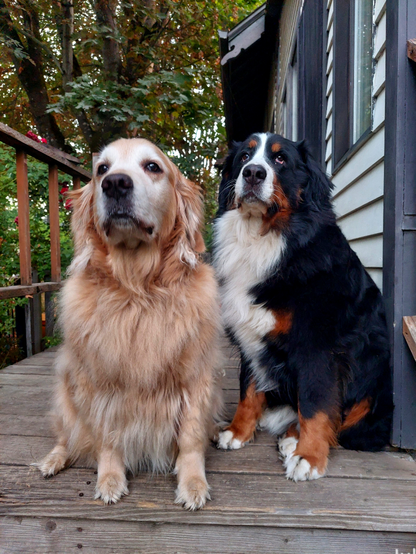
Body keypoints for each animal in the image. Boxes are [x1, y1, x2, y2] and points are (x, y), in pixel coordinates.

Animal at [214, 133, 394, 478]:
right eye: (244, 157)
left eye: (280, 159)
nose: (253, 173)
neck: (264, 239)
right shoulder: (251, 337)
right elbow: (248, 390)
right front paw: (237, 432)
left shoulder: (315, 345)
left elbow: (315, 402)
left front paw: (309, 456)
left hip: (376, 366)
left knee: (346, 421)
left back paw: (295, 438)